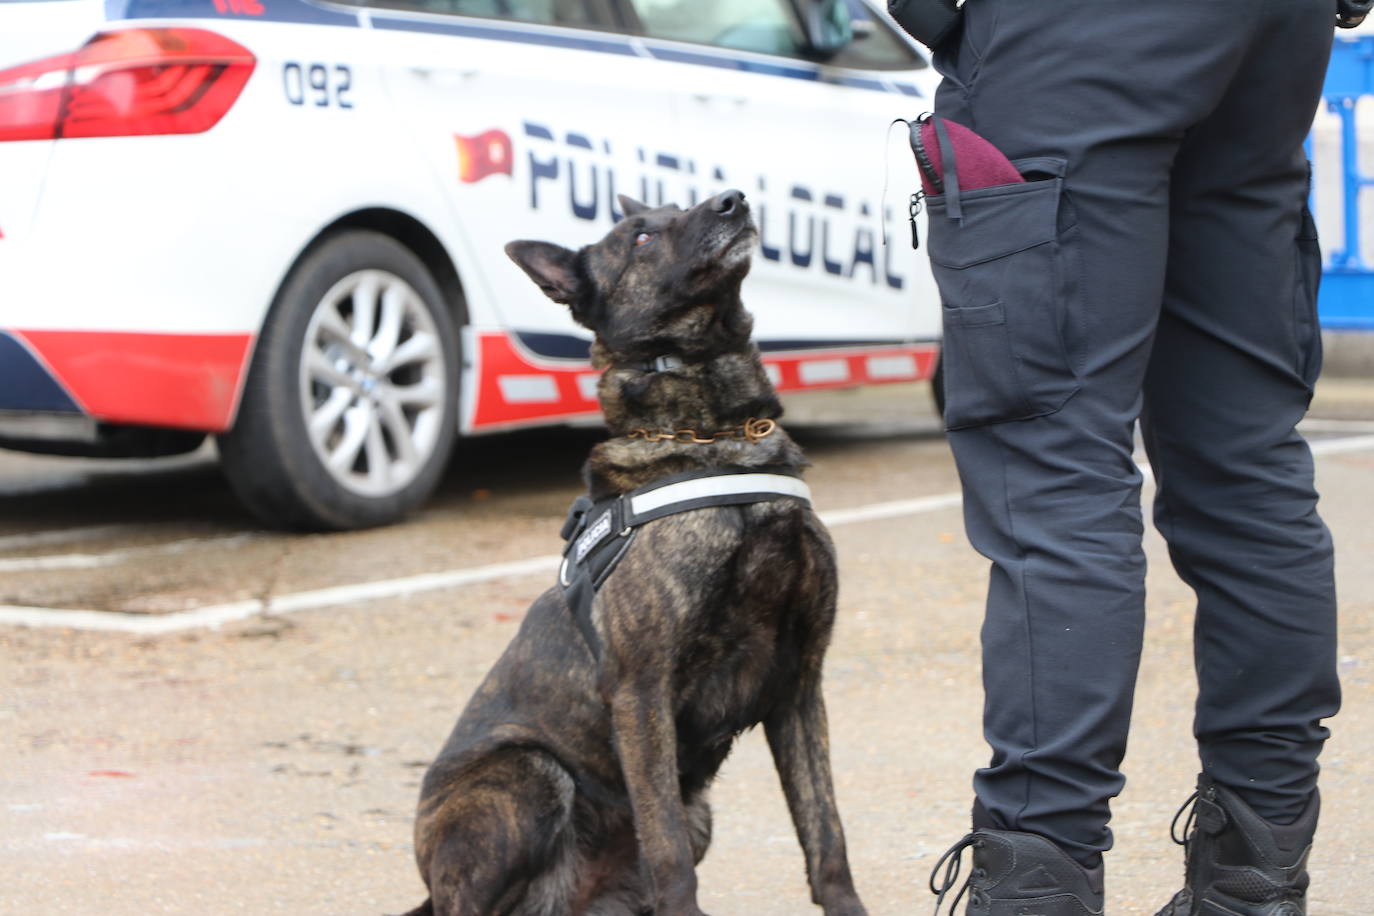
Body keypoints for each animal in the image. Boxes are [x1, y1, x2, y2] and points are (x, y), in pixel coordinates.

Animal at [401, 188, 862, 916]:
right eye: (642, 237)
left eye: (682, 207)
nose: (734, 200)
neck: (715, 438)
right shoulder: (642, 692)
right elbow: (666, 849)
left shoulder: (799, 686)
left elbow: (826, 833)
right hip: (529, 773)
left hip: (695, 815)